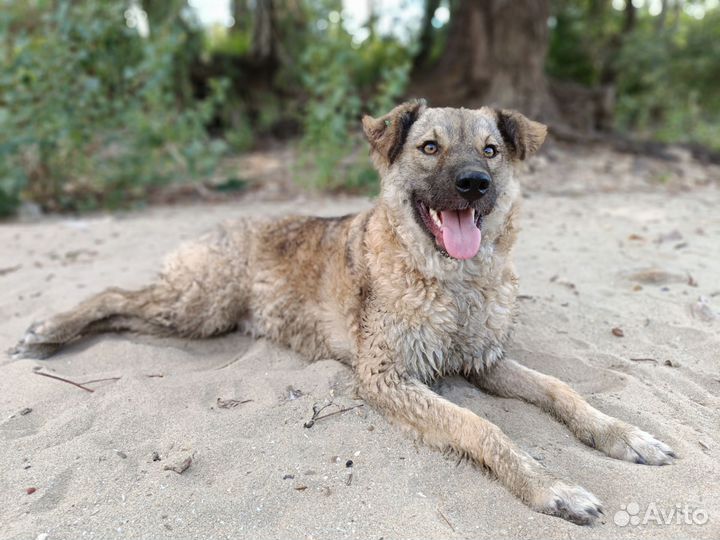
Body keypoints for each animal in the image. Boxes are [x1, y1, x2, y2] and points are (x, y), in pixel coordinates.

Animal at [12, 100, 676, 524]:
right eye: (429, 147)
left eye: (491, 150)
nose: (474, 183)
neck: (451, 280)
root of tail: (219, 223)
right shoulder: (387, 377)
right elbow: (481, 426)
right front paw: (549, 485)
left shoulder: (485, 361)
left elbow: (564, 390)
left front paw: (624, 435)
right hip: (198, 306)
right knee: (115, 296)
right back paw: (49, 329)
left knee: (127, 312)